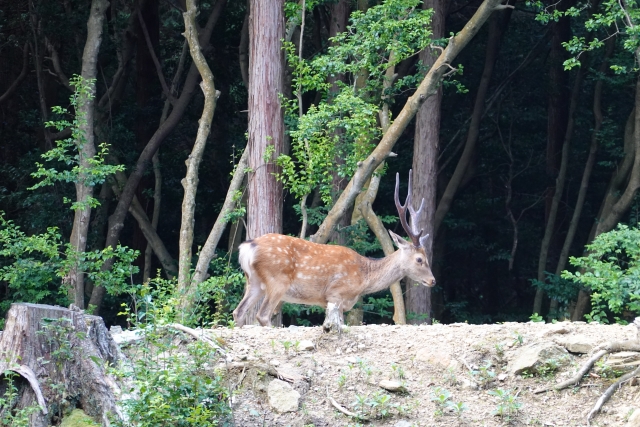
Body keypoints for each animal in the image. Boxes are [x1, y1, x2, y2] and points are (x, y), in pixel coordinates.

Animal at [232, 171, 438, 332]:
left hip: (254, 282)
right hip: (277, 280)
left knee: (238, 311)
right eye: (420, 259)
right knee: (262, 315)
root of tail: (247, 247)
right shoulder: (336, 293)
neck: (364, 278)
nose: (432, 280)